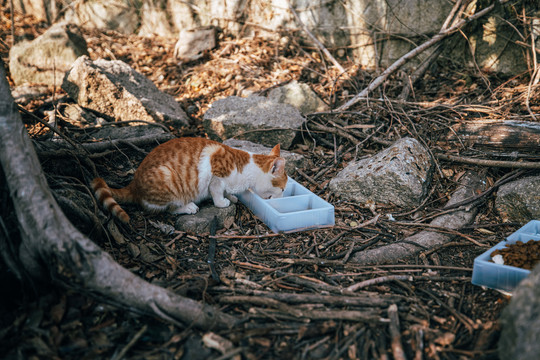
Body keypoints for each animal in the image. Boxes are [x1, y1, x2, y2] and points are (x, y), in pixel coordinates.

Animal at [90, 137, 288, 224]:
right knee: (168, 209)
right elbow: (216, 190)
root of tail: (133, 185)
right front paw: (222, 202)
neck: (248, 169)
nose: (283, 196)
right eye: (283, 188)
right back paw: (188, 207)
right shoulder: (216, 173)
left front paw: (231, 197)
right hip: (168, 178)